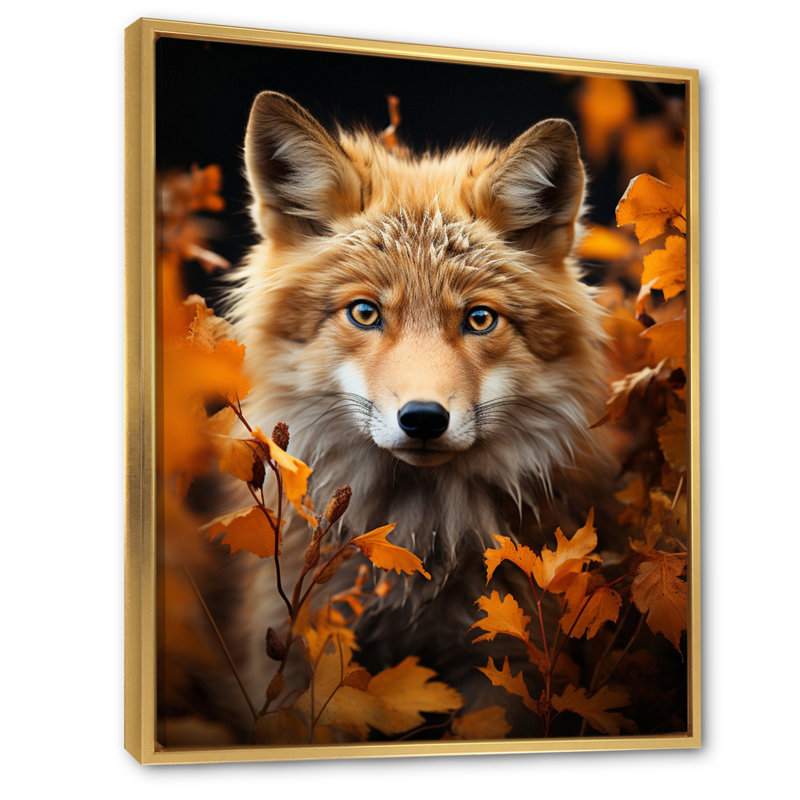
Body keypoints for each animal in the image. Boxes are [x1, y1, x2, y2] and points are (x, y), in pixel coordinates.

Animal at [225, 90, 613, 729]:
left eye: (479, 319)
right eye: (364, 313)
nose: (425, 418)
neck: (422, 541)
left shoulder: (503, 670)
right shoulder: (299, 654)